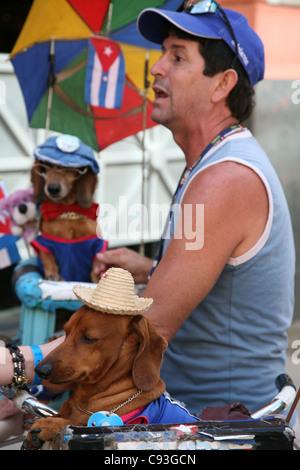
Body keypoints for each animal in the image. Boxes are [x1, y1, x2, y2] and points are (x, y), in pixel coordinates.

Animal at [30, 136, 107, 282]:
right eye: (47, 165)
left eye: (67, 167)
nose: (53, 189)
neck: (67, 211)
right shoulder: (46, 241)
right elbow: (47, 257)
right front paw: (52, 275)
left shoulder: (95, 243)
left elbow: (96, 265)